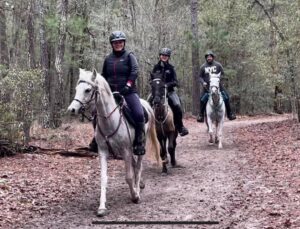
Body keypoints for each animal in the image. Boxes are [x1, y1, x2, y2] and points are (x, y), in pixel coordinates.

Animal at [67, 68, 161, 216]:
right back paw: (140, 184)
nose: (72, 109)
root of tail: (145, 104)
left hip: (139, 147)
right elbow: (103, 178)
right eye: (77, 88)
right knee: (134, 165)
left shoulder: (126, 151)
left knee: (138, 166)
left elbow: (128, 176)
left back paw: (137, 189)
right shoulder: (103, 152)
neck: (110, 120)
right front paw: (101, 207)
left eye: (88, 90)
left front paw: (135, 196)